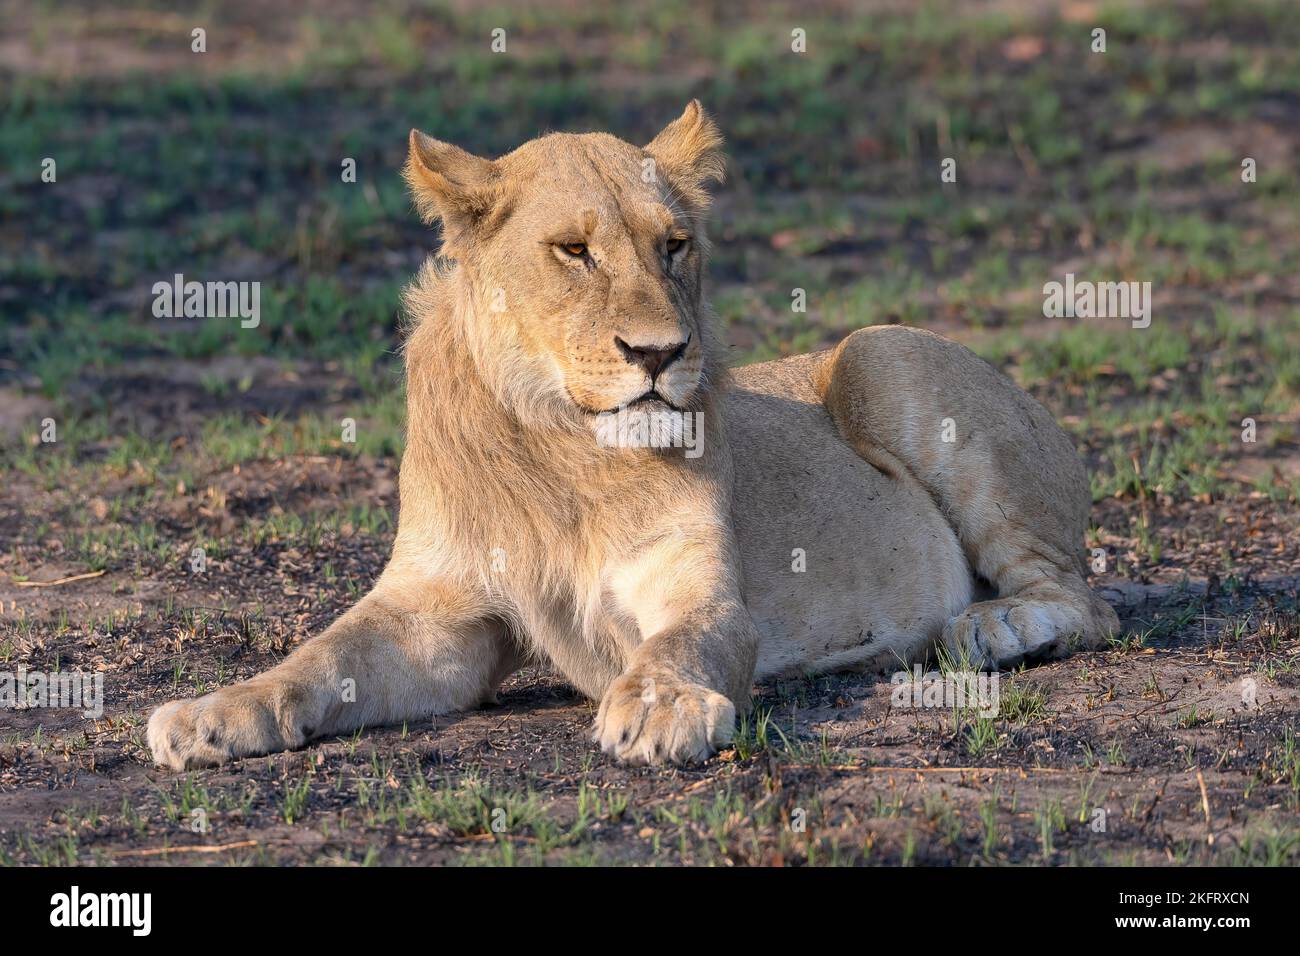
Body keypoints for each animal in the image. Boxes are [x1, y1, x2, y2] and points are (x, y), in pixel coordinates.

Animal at [144, 100, 1118, 770]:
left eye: (674, 245)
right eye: (574, 251)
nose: (660, 352)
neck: (563, 444)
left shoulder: (698, 592)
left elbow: (677, 644)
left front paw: (659, 706)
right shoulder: (438, 615)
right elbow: (320, 654)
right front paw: (213, 712)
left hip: (879, 351)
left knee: (1085, 600)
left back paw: (992, 628)